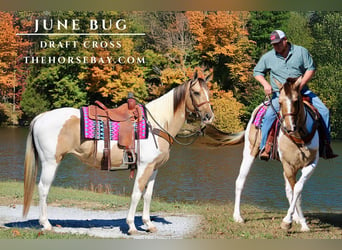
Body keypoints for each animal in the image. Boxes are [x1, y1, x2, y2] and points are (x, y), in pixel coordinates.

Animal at [22, 72, 214, 234]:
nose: (209, 116)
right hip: (50, 162)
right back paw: (46, 224)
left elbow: (148, 195)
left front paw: (148, 225)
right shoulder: (144, 167)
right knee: (43, 188)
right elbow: (136, 194)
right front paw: (132, 226)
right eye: (196, 92)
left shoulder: (154, 168)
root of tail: (41, 117)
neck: (155, 125)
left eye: (208, 92)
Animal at [232, 77, 320, 231]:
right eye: (279, 102)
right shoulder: (288, 165)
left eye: (296, 101)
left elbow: (297, 190)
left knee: (289, 190)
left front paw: (300, 222)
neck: (299, 137)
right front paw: (289, 221)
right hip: (249, 152)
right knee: (240, 181)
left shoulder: (311, 163)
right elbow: (296, 191)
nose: (289, 128)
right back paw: (238, 216)